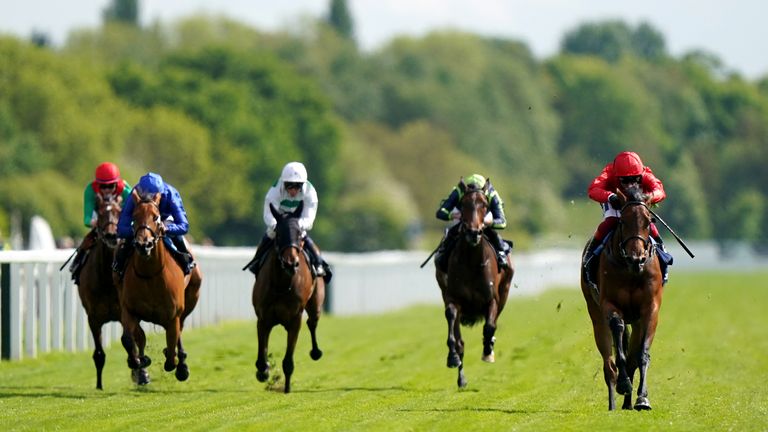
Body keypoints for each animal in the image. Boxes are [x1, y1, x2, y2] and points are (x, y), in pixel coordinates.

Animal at [76, 194, 132, 390]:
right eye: (99, 214)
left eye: (119, 212)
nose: (111, 235)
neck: (107, 280)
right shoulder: (93, 318)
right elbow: (99, 354)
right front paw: (99, 385)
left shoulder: (124, 314)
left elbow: (131, 344)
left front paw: (140, 373)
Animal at [118, 191, 202, 384]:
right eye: (134, 217)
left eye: (156, 217)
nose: (144, 244)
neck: (150, 275)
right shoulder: (129, 309)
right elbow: (128, 338)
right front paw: (138, 361)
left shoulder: (172, 317)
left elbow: (171, 354)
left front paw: (178, 363)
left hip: (190, 299)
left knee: (179, 332)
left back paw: (182, 365)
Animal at [252, 201, 324, 394]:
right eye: (278, 233)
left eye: (299, 234)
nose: (291, 263)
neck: (281, 284)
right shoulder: (263, 318)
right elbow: (261, 356)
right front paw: (264, 372)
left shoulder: (294, 320)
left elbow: (288, 361)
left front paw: (287, 388)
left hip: (316, 304)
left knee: (312, 322)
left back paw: (316, 352)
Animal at [436, 179, 512, 388]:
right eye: (463, 204)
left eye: (485, 205)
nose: (473, 232)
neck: (471, 260)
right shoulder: (453, 298)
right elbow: (452, 319)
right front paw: (453, 357)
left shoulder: (492, 299)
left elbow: (490, 327)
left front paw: (487, 351)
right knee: (459, 338)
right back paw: (461, 376)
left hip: (505, 293)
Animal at [580, 186, 664, 412]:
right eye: (623, 222)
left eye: (648, 222)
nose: (637, 259)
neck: (631, 271)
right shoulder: (610, 304)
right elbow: (618, 337)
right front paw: (624, 383)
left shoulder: (650, 308)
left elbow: (641, 354)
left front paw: (642, 398)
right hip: (596, 314)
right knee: (608, 363)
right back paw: (613, 402)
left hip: (635, 321)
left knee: (632, 356)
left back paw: (628, 403)